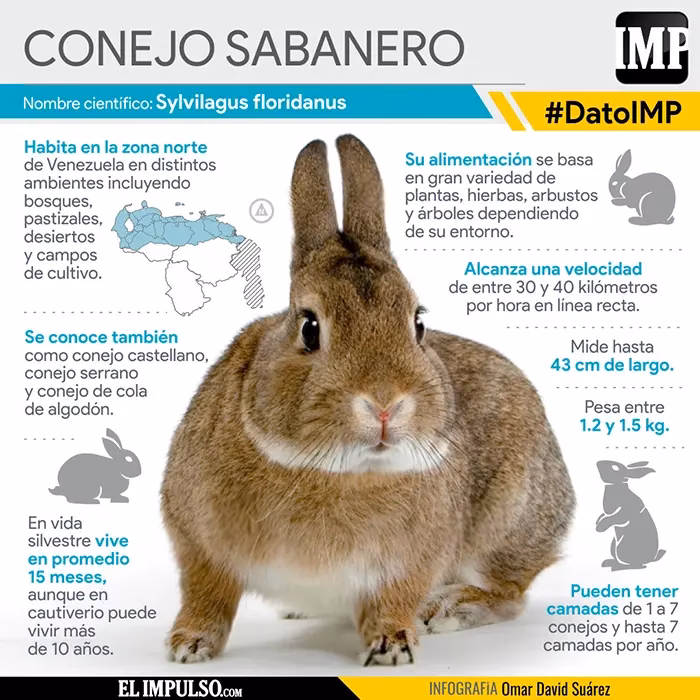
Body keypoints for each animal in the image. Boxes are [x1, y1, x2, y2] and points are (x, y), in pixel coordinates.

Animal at [161, 134, 575, 667]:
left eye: (417, 323)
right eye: (309, 328)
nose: (384, 404)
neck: (334, 470)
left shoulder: (410, 563)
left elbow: (393, 600)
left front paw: (391, 647)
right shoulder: (198, 544)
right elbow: (206, 596)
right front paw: (188, 646)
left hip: (509, 518)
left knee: (509, 593)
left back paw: (450, 608)